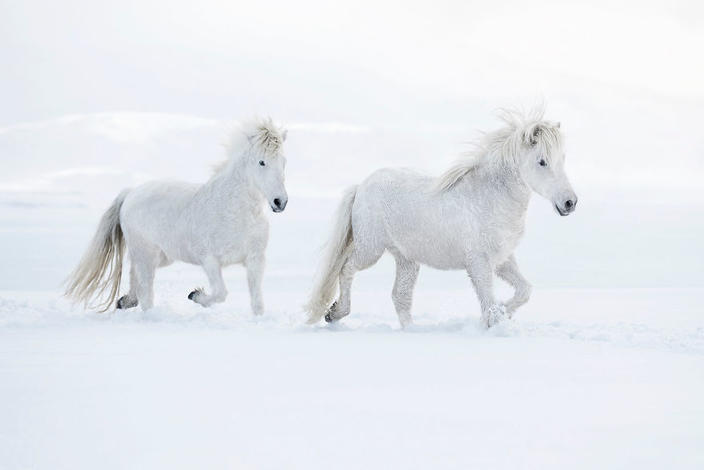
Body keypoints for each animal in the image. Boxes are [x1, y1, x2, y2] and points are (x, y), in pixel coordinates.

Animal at [64, 117, 288, 316]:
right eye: (261, 162)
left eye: (284, 162)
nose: (280, 202)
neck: (236, 212)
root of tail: (131, 193)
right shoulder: (209, 260)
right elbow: (220, 293)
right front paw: (195, 295)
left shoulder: (255, 260)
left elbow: (257, 303)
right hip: (146, 255)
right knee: (146, 294)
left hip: (160, 257)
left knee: (136, 282)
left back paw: (123, 301)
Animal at [306, 107, 576, 326]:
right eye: (542, 161)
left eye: (563, 159)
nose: (569, 203)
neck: (490, 197)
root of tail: (361, 185)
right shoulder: (478, 263)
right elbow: (489, 303)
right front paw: (495, 320)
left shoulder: (502, 260)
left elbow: (524, 291)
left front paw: (504, 313)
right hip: (370, 249)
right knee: (346, 269)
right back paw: (334, 313)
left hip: (406, 259)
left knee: (400, 297)